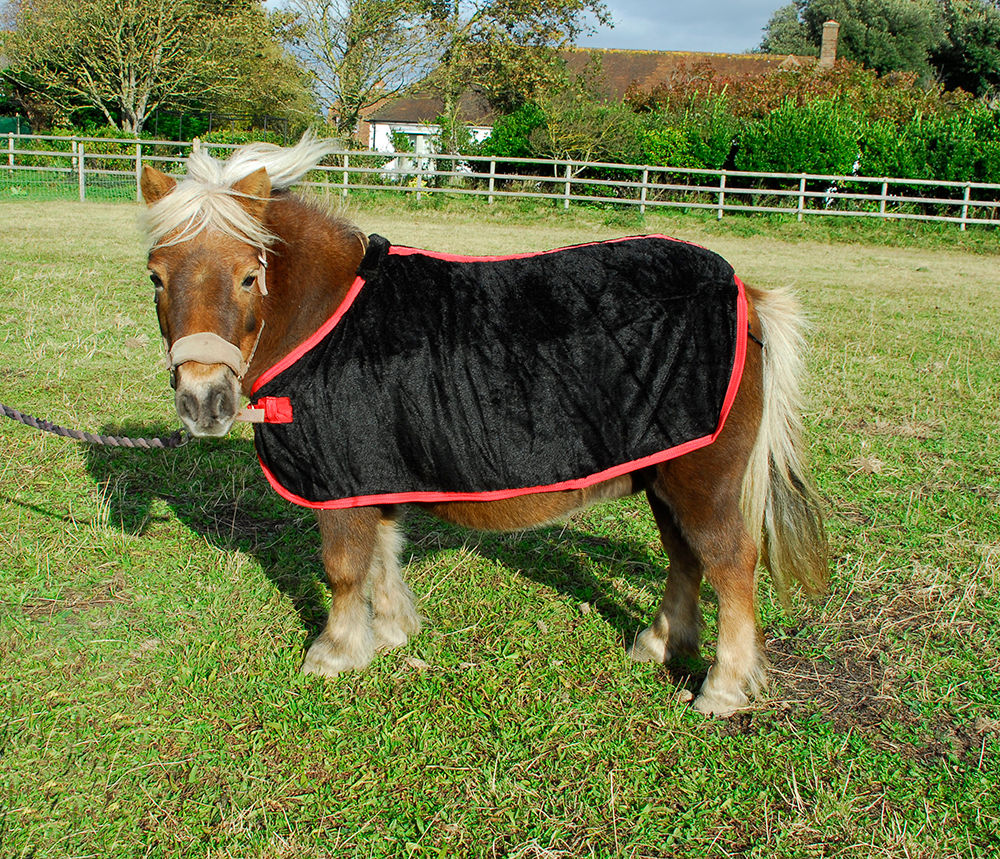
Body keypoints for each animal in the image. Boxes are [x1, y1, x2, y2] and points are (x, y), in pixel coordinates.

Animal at [138, 136, 828, 717]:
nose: (204, 401)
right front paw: (392, 633)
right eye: (156, 276)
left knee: (730, 563)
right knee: (685, 558)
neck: (328, 320)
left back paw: (722, 689)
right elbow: (383, 556)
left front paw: (334, 654)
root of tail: (745, 293)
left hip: (703, 480)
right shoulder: (375, 474)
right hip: (663, 473)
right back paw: (658, 645)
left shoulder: (341, 483)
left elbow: (343, 568)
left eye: (248, 276)